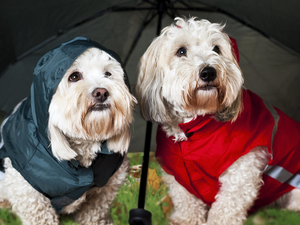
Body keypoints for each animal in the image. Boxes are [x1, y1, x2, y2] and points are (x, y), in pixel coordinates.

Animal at [0, 37, 136, 224]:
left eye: (108, 74)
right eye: (74, 76)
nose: (101, 92)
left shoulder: (108, 185)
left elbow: (95, 211)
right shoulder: (27, 193)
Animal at [135, 16, 300, 224]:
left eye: (216, 49)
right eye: (181, 51)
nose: (208, 72)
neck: (194, 130)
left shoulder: (242, 171)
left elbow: (226, 208)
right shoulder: (178, 173)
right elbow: (185, 200)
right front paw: (186, 219)